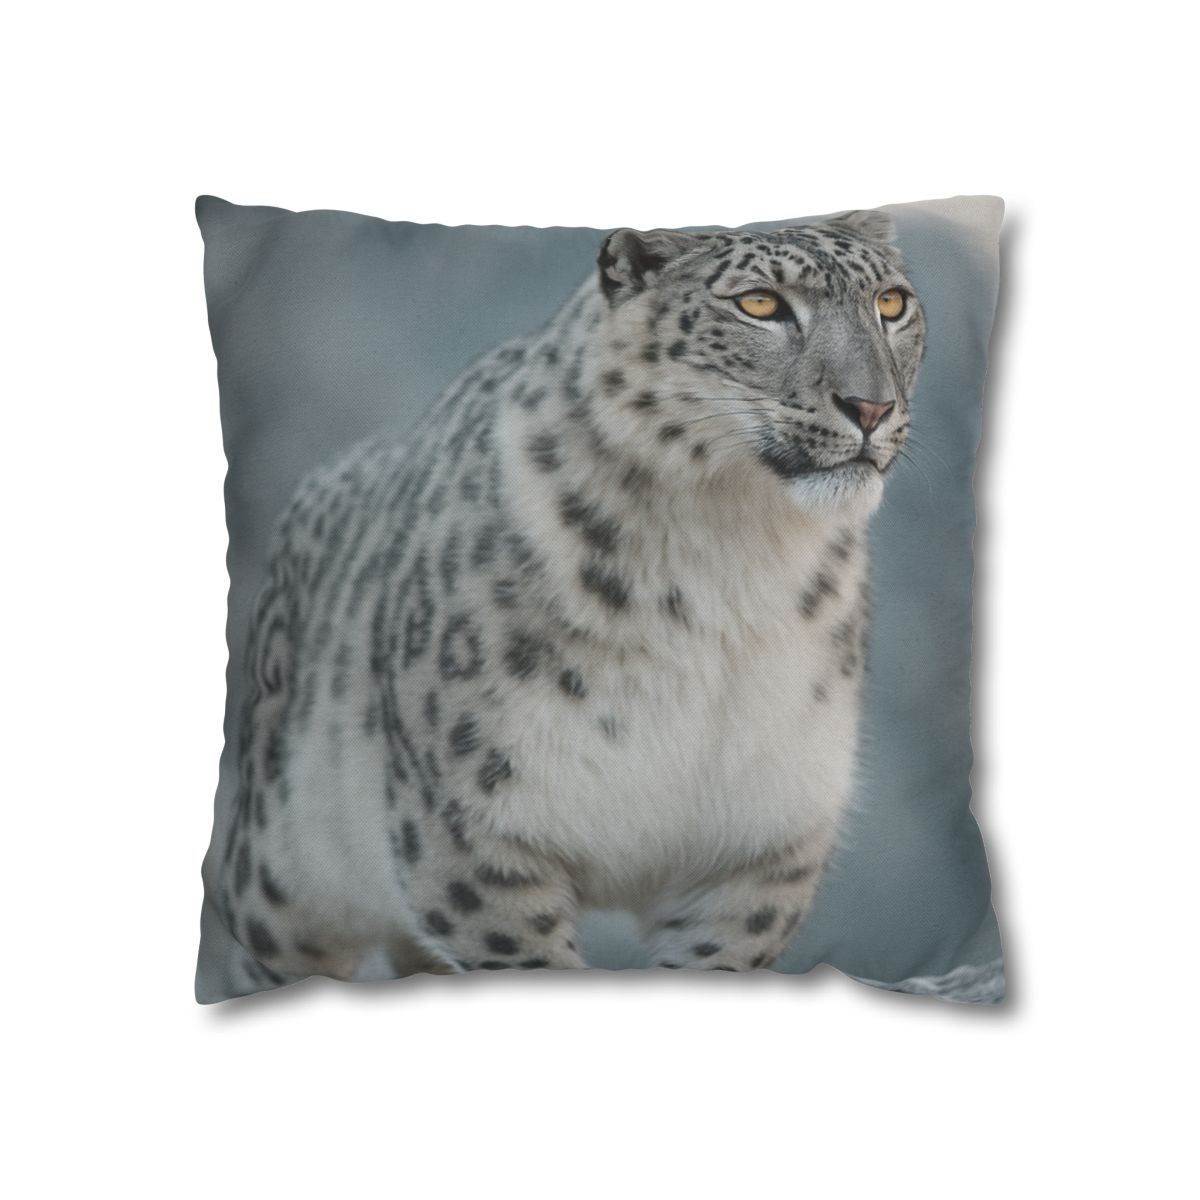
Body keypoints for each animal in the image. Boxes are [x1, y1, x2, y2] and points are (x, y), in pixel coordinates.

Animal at [212, 208, 927, 986]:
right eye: (760, 304)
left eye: (891, 303)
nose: (871, 405)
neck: (734, 558)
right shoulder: (473, 828)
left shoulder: (762, 843)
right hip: (284, 872)